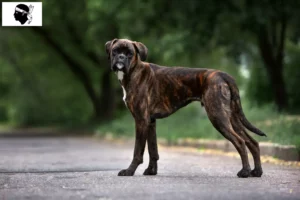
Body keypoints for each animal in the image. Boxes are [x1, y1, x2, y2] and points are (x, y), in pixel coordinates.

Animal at [105, 38, 264, 177]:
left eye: (129, 53)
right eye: (115, 51)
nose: (120, 57)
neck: (134, 71)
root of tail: (222, 74)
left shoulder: (141, 120)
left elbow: (138, 151)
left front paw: (129, 171)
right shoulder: (150, 122)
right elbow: (153, 150)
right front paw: (151, 171)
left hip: (218, 116)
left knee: (240, 141)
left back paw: (244, 172)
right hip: (231, 117)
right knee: (252, 142)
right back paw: (256, 172)